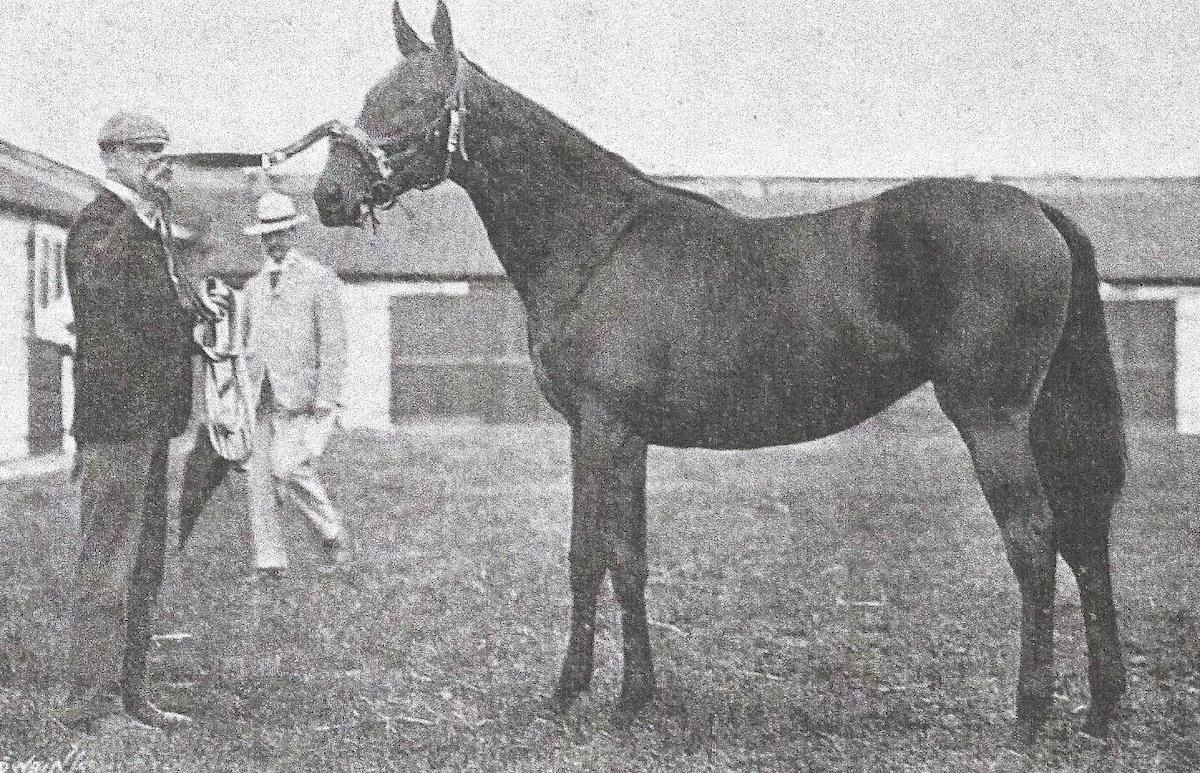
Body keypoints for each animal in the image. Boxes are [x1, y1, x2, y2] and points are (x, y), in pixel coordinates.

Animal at [314, 3, 1128, 744]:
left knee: (1034, 540)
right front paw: (634, 697)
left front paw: (568, 693)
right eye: (367, 100)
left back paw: (1030, 715)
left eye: (413, 102)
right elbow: (629, 559)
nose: (329, 196)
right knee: (1085, 534)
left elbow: (586, 556)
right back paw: (1101, 708)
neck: (598, 240)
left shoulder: (598, 428)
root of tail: (1036, 208)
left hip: (990, 417)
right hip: (1043, 416)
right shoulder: (626, 437)